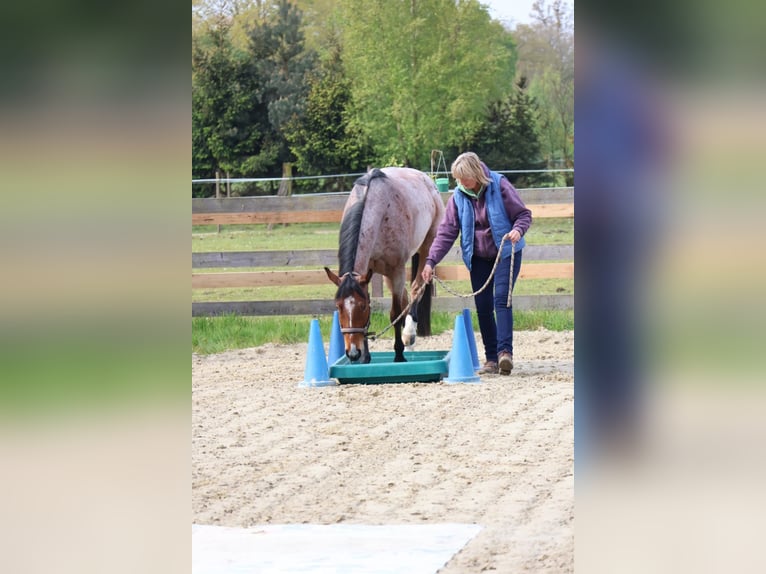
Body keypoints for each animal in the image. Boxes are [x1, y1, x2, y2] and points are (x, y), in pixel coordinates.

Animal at [324, 167, 445, 363]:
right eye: (338, 306)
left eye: (361, 306)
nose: (353, 352)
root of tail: (427, 180)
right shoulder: (366, 274)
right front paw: (366, 357)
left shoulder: (396, 271)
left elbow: (395, 313)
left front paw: (398, 354)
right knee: (405, 296)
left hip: (426, 248)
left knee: (415, 289)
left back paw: (409, 335)